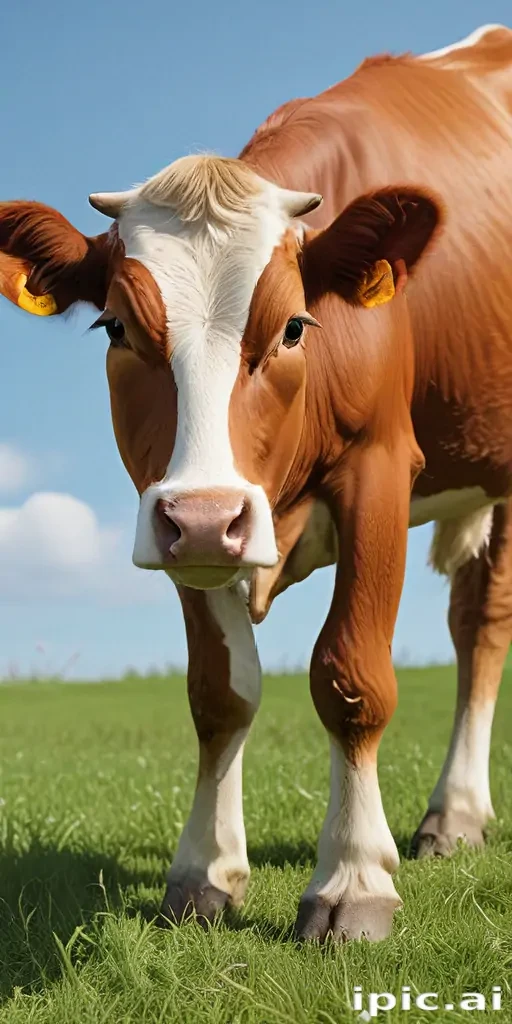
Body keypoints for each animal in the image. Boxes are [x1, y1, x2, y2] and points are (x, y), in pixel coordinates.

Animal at [0, 23, 511, 943]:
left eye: (296, 326)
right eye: (115, 327)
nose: (209, 516)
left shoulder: (380, 469)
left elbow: (351, 676)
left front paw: (352, 883)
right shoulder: (176, 512)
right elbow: (219, 693)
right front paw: (205, 871)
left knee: (483, 621)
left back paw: (452, 813)